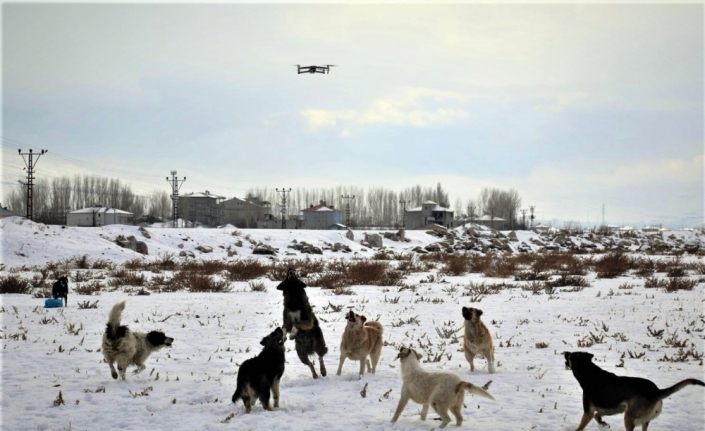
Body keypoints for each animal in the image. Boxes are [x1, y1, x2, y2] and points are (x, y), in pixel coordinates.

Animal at [568, 352, 704, 431]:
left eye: (570, 355)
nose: (565, 352)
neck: (589, 373)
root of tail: (656, 391)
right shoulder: (613, 408)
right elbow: (598, 415)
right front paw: (603, 424)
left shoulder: (588, 412)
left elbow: (582, 425)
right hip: (642, 419)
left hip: (629, 418)